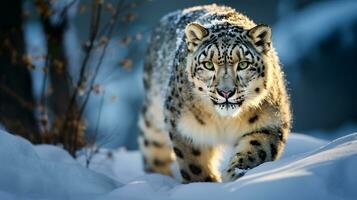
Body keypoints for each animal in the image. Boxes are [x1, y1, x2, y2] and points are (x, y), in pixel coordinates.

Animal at [138, 4, 290, 183]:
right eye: (208, 65)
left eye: (243, 64)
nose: (226, 92)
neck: (224, 120)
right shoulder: (186, 128)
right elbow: (194, 165)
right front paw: (204, 184)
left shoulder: (268, 123)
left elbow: (258, 151)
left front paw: (235, 174)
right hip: (153, 116)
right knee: (152, 145)